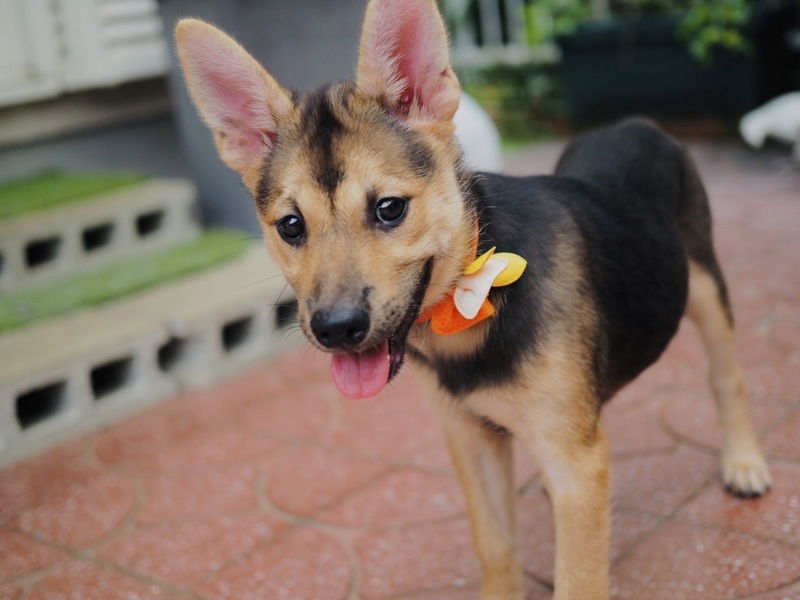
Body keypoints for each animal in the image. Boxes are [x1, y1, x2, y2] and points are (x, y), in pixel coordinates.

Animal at [175, 1, 772, 597]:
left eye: (389, 208)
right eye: (291, 226)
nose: (336, 328)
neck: (467, 311)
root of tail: (632, 123)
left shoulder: (576, 462)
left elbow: (577, 575)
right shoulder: (472, 439)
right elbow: (495, 545)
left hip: (705, 286)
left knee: (729, 377)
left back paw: (744, 461)